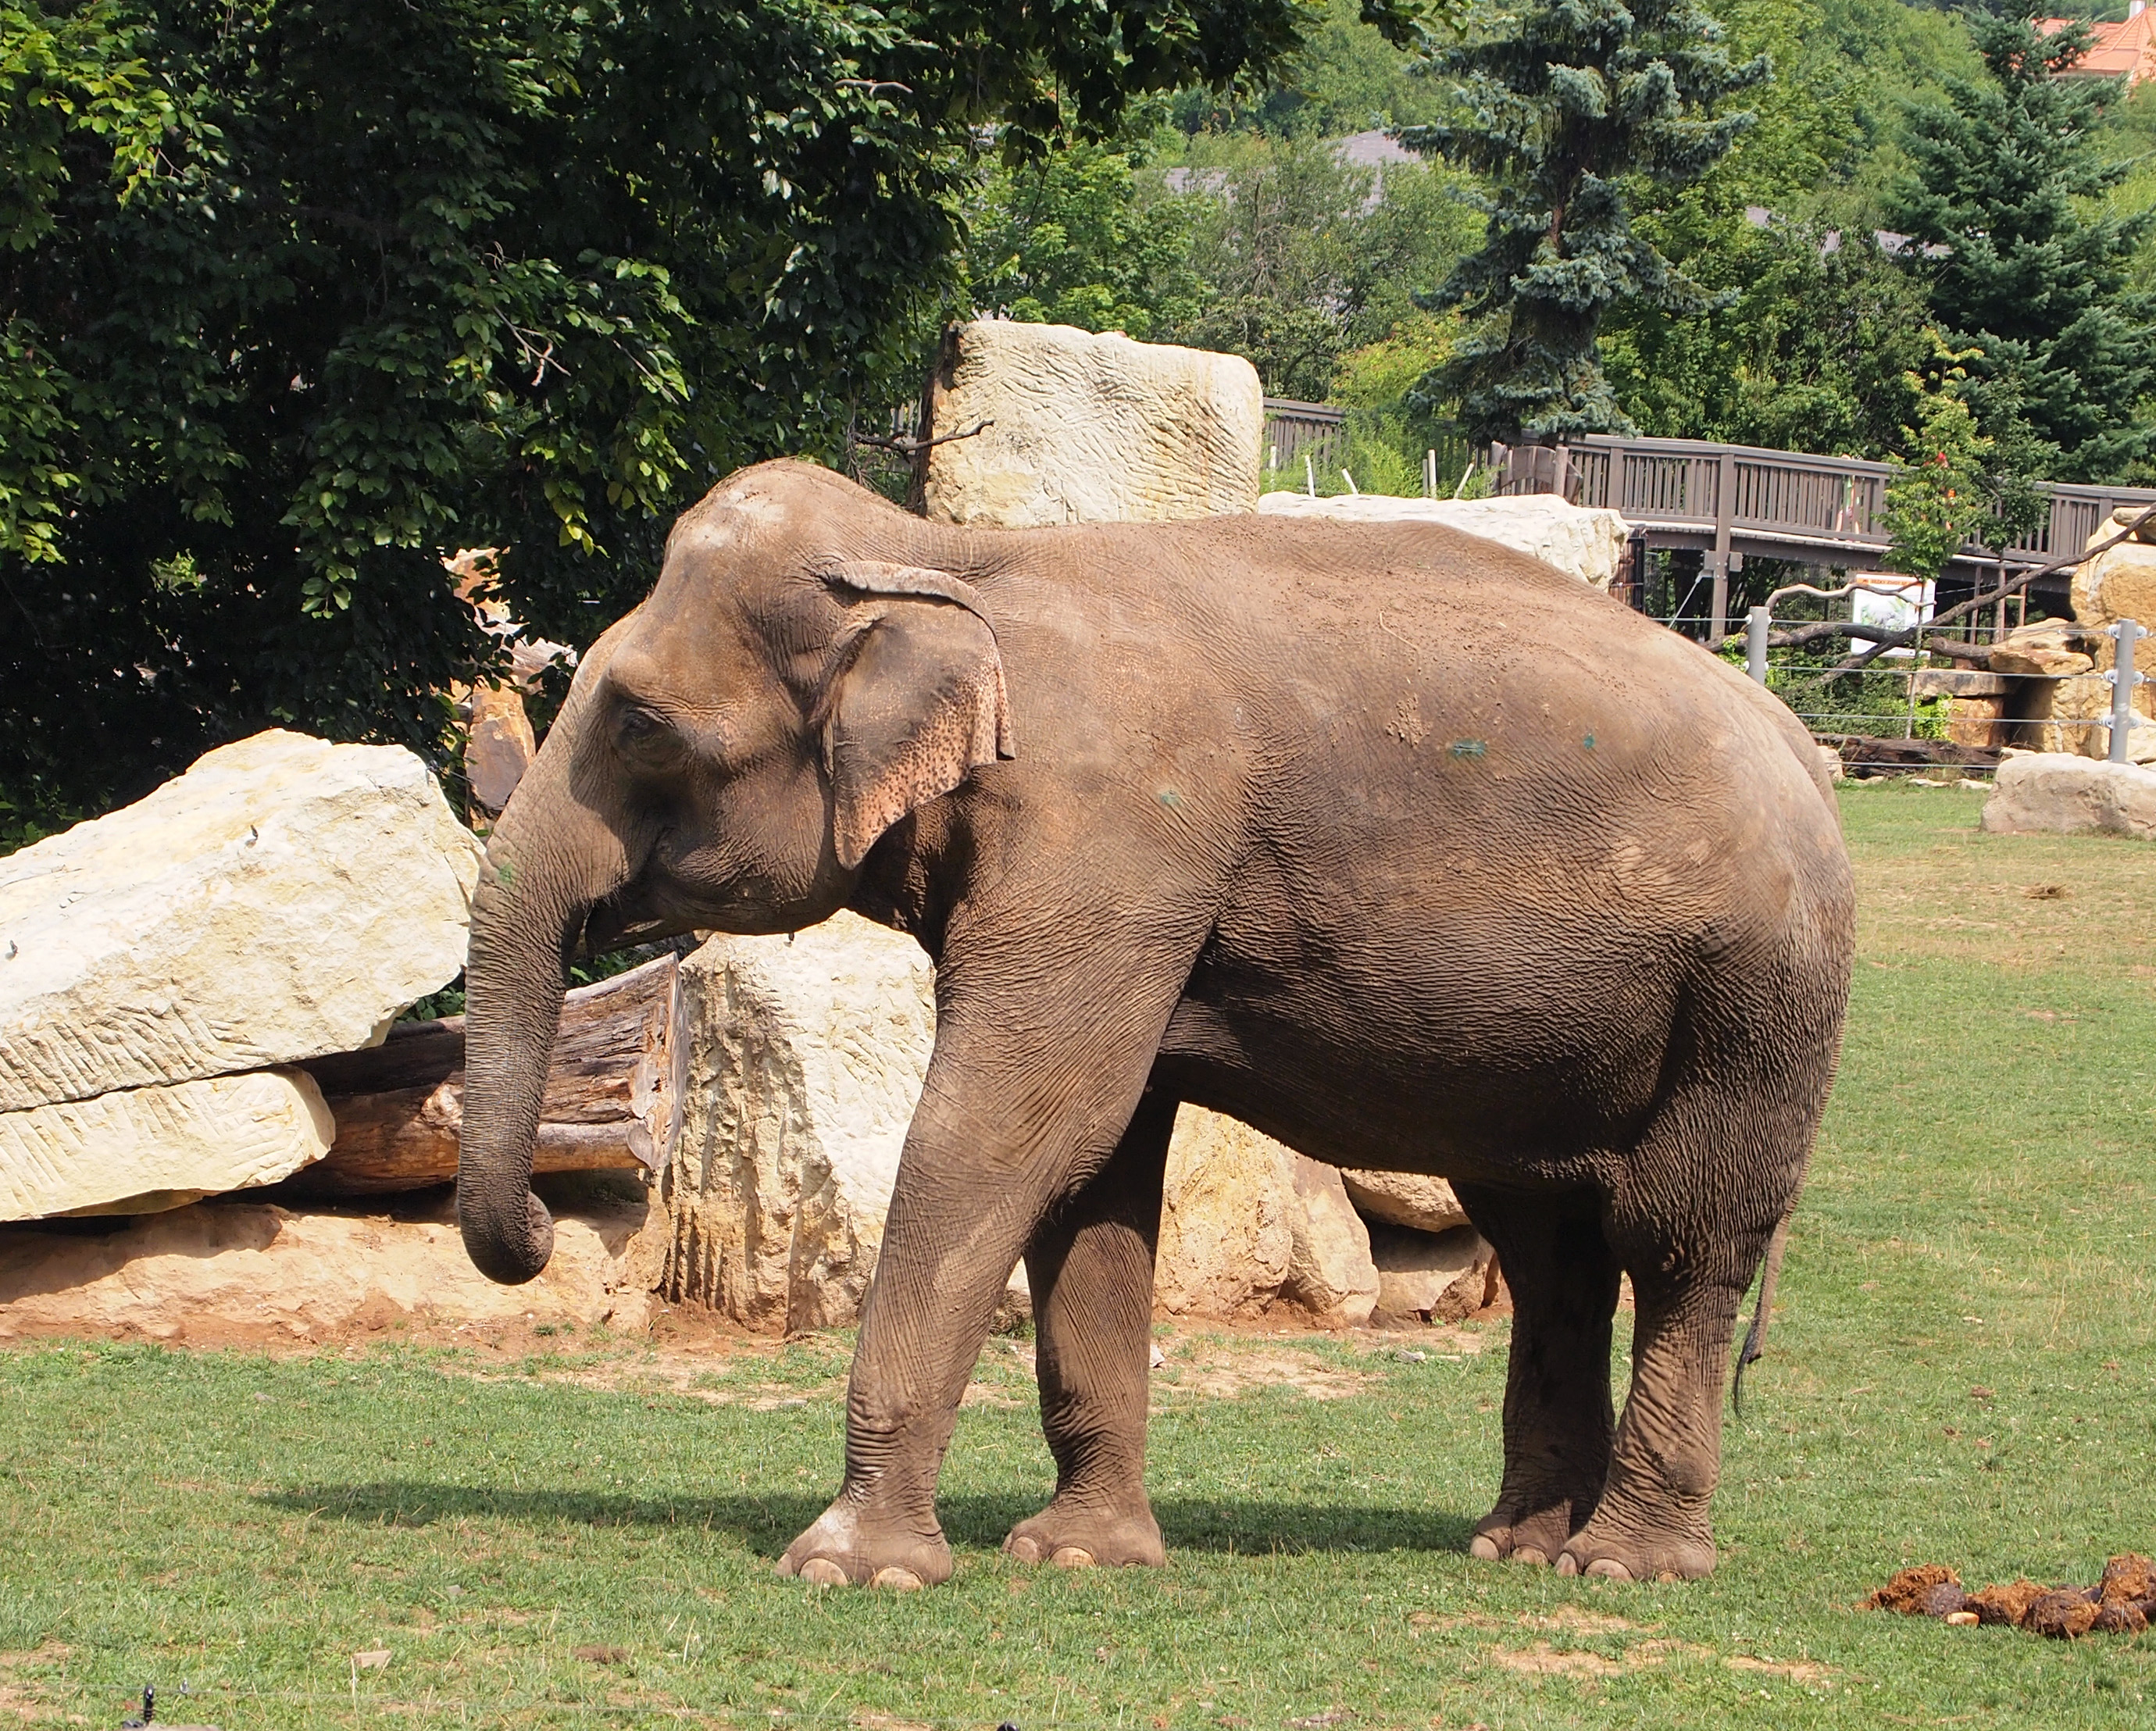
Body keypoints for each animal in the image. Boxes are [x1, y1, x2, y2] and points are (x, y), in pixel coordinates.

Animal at [459, 463, 1854, 1595]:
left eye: (641, 723)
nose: (541, 1231)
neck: (949, 555)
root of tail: (1803, 746)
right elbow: (1098, 1176)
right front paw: (1079, 1556)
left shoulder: (1111, 841)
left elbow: (1008, 1133)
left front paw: (851, 1571)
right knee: (1548, 1239)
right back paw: (1517, 1547)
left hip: (1755, 998)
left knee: (1681, 1238)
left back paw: (1626, 1567)